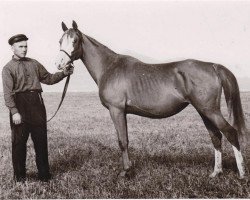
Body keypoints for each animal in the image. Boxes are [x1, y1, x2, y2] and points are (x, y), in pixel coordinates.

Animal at [53, 21, 247, 179]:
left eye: (75, 41)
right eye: (60, 41)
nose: (60, 64)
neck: (110, 67)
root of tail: (213, 66)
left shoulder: (116, 110)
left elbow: (122, 141)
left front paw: (125, 172)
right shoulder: (121, 112)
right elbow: (125, 139)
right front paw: (128, 169)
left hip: (209, 110)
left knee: (230, 132)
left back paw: (242, 173)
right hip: (203, 111)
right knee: (216, 136)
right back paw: (216, 172)